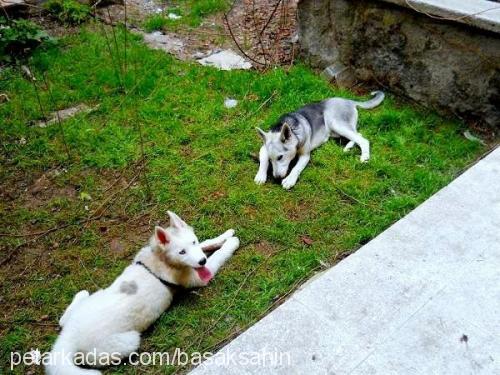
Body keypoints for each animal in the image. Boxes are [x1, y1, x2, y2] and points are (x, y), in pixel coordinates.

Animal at [45, 213, 240, 374]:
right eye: (182, 252)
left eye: (192, 242)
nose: (201, 261)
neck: (161, 259)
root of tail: (69, 336)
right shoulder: (198, 277)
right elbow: (218, 257)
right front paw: (231, 243)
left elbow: (205, 243)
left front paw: (225, 235)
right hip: (128, 341)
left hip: (88, 302)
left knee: (64, 318)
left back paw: (80, 296)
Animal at [256, 91, 384, 191]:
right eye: (271, 159)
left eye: (280, 157)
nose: (276, 178)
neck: (292, 129)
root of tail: (348, 100)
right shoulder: (263, 148)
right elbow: (263, 160)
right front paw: (260, 175)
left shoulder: (305, 156)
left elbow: (296, 168)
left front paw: (290, 180)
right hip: (335, 131)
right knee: (357, 134)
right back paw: (348, 147)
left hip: (336, 124)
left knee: (363, 139)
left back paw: (365, 157)